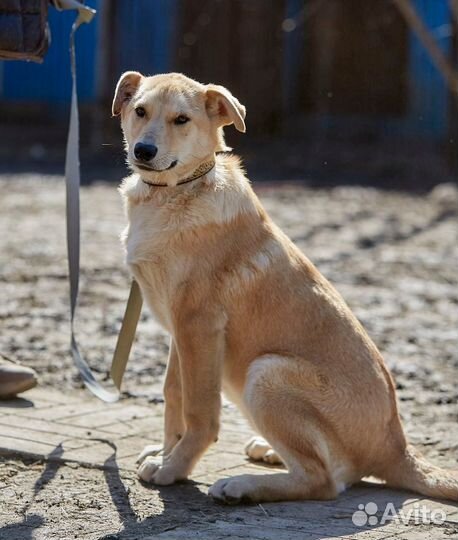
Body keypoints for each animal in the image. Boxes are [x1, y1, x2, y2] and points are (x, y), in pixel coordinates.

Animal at [112, 70, 458, 502]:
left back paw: (242, 486)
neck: (174, 193)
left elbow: (200, 411)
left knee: (324, 481)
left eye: (181, 120)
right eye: (140, 111)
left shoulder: (198, 325)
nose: (143, 151)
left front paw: (175, 468)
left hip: (266, 371)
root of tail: (397, 447)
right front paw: (166, 452)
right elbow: (174, 394)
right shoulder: (182, 333)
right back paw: (268, 452)